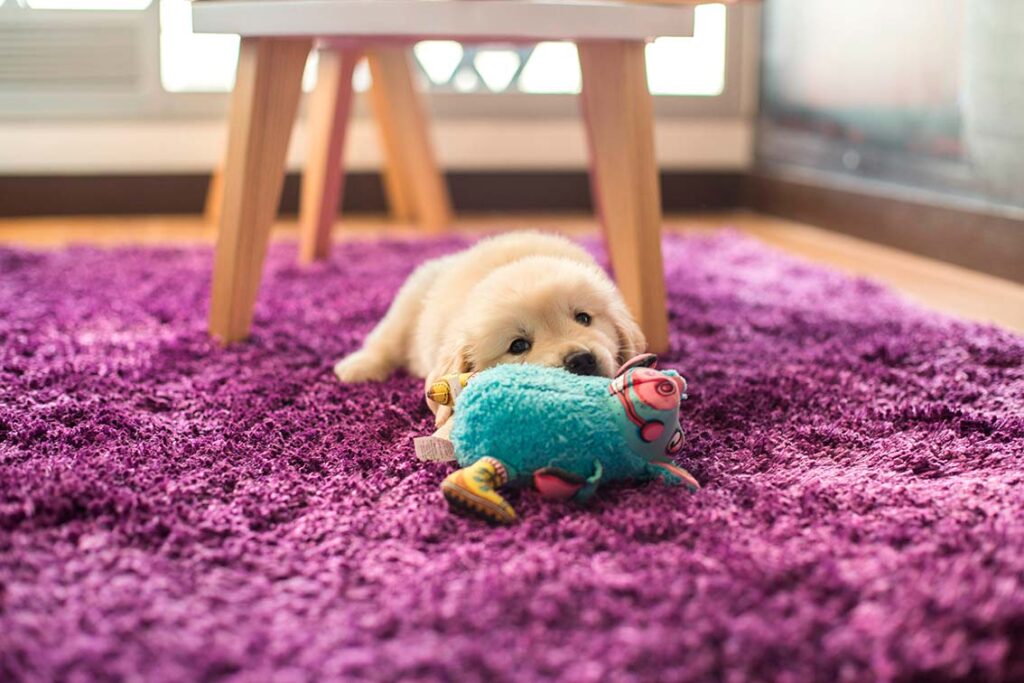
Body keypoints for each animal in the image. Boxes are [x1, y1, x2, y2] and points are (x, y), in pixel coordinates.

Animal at [331, 232, 643, 423]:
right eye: (518, 346)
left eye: (584, 318)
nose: (580, 360)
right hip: (409, 300)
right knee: (386, 339)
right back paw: (358, 367)